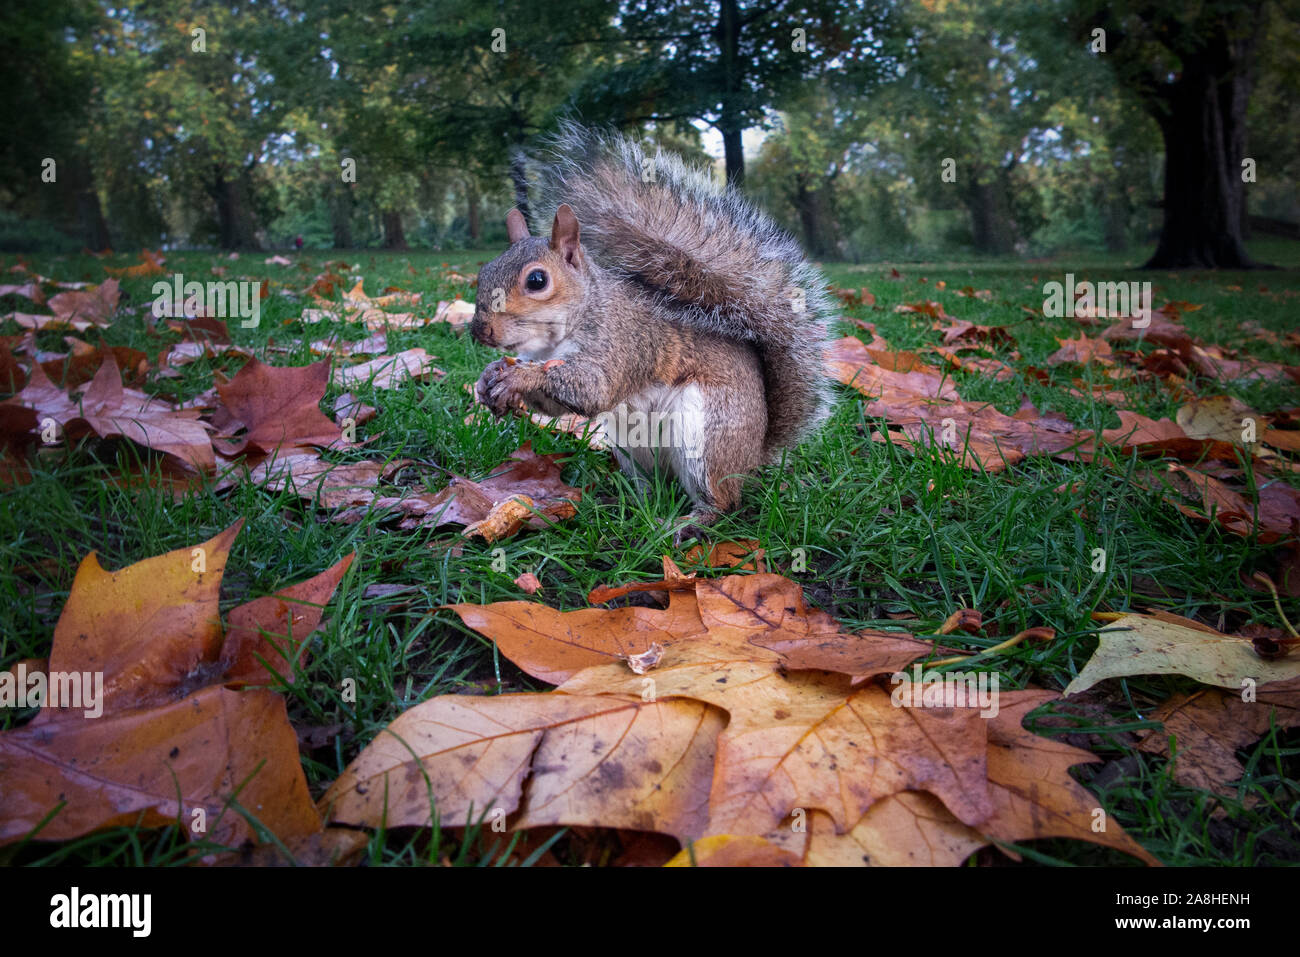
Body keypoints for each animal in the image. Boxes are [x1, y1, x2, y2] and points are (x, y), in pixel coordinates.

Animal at [467, 123, 832, 538]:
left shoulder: (625, 343)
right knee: (652, 486)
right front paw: (489, 377)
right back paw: (625, 504)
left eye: (537, 280)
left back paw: (684, 524)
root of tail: (753, 458)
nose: (481, 331)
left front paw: (519, 379)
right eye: (484, 272)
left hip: (706, 436)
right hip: (630, 447)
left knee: (723, 503)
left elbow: (594, 389)